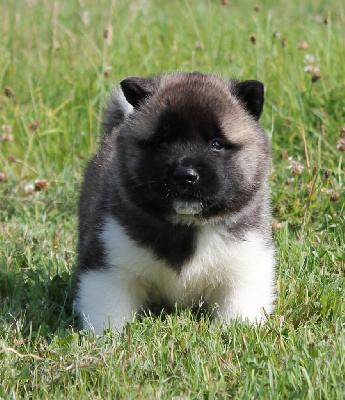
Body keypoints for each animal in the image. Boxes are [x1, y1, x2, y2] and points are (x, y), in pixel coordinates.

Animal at [75, 72, 274, 334]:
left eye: (216, 144)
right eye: (162, 143)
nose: (185, 176)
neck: (187, 227)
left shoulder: (245, 268)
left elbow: (238, 315)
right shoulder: (109, 271)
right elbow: (108, 318)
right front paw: (109, 340)